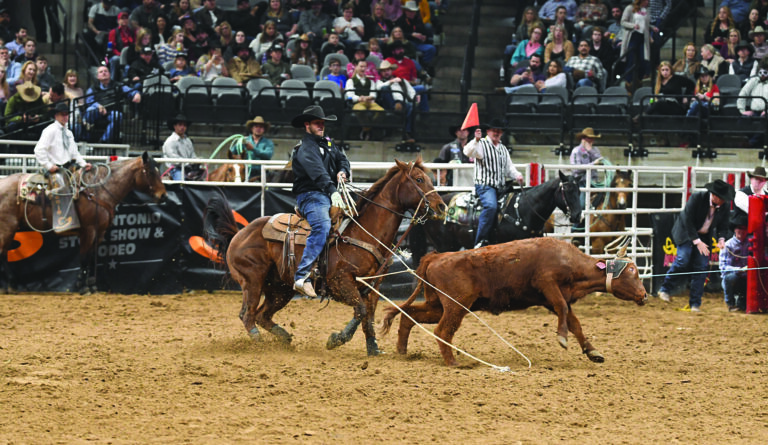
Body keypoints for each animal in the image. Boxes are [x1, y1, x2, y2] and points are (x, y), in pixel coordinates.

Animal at [0, 151, 167, 294]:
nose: (163, 195)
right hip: (8, 227)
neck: (99, 191)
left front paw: (92, 285)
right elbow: (84, 257)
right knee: (2, 253)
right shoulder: (89, 230)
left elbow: (92, 257)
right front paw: (82, 286)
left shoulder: (100, 232)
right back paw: (9, 286)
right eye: (151, 172)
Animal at [201, 158, 448, 356]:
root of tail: (239, 234)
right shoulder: (342, 282)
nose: (441, 206)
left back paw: (284, 339)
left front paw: (373, 349)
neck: (362, 232)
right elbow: (361, 311)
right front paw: (337, 339)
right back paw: (259, 344)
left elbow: (368, 317)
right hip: (252, 280)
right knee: (248, 314)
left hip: (281, 288)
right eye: (418, 179)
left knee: (262, 315)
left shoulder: (373, 287)